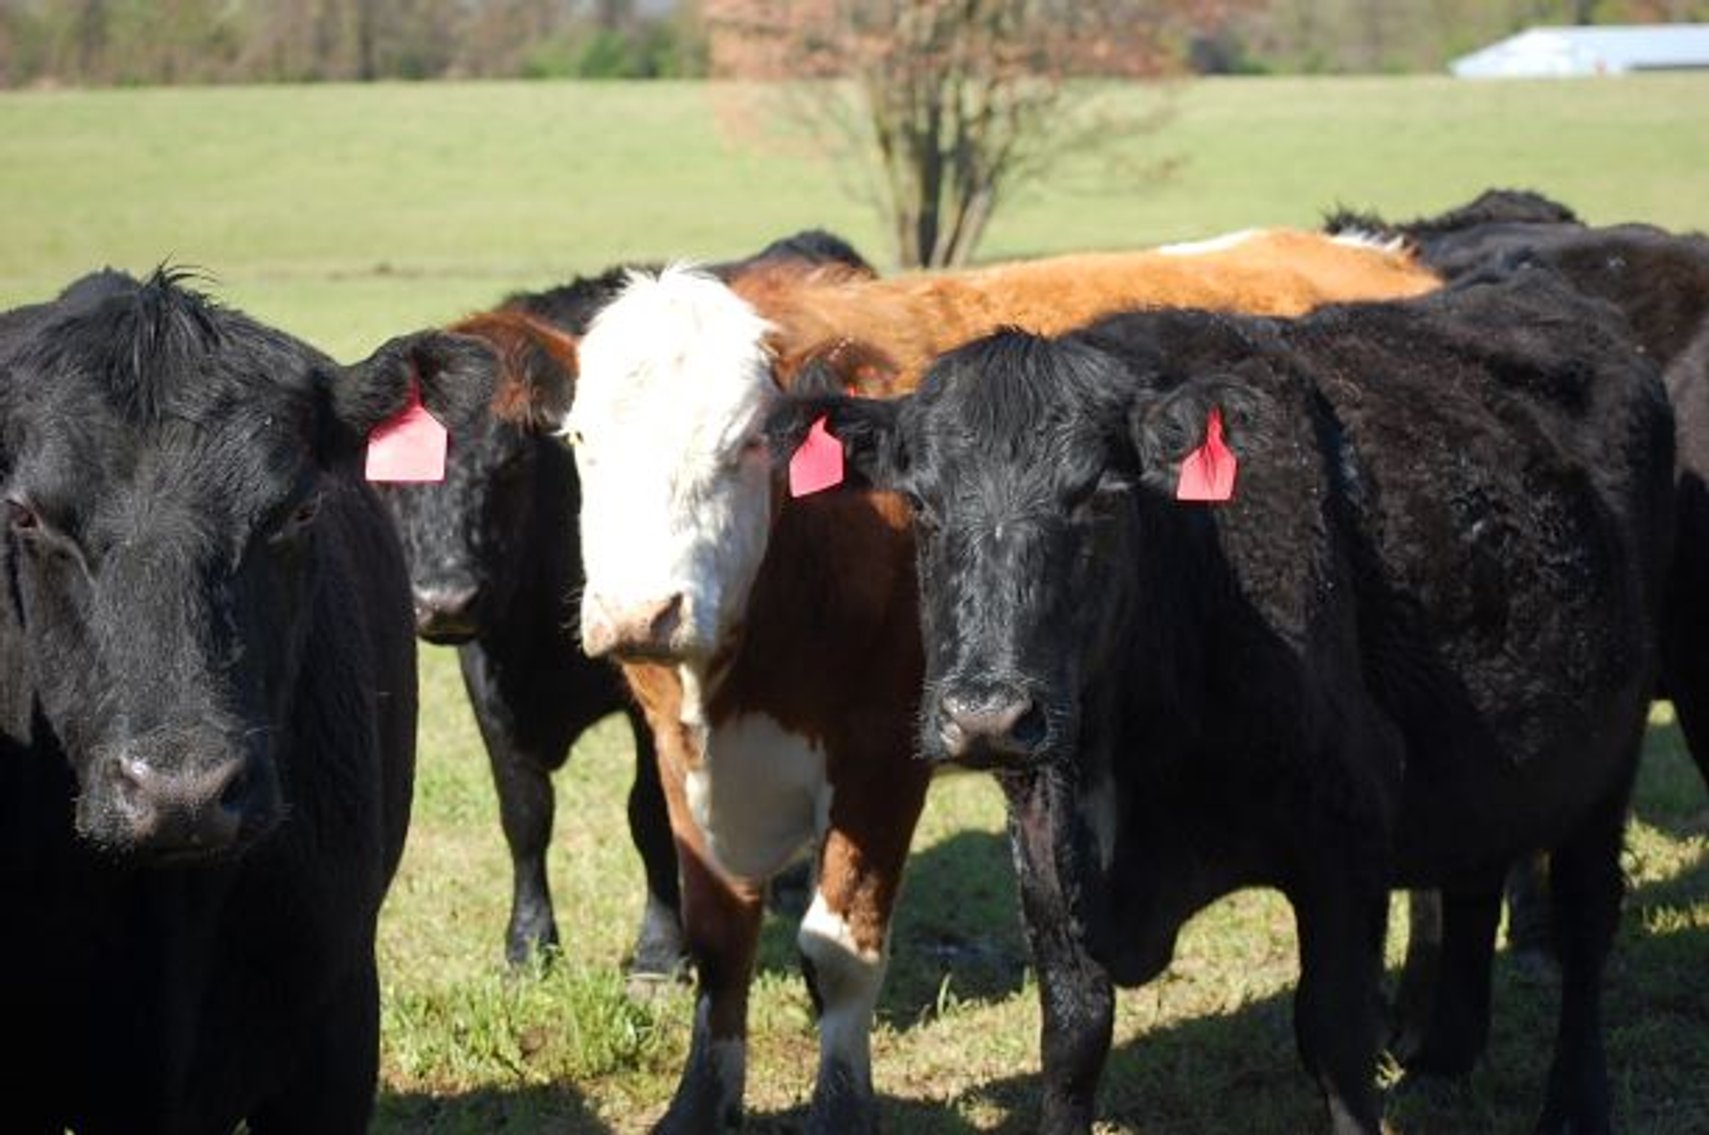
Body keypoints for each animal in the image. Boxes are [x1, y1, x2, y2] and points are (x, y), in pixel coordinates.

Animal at [378, 231, 871, 973]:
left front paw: (660, 950)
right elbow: (525, 813)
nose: (445, 600)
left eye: (510, 465)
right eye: (387, 481)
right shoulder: (485, 682)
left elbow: (649, 816)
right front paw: (529, 941)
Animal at [539, 228, 1442, 1131]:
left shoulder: (881, 760)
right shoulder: (679, 751)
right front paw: (698, 1102)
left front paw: (841, 1105)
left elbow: (838, 952)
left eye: (744, 444)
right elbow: (719, 939)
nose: (639, 614)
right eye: (580, 440)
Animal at [764, 267, 1672, 1133]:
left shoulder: (1346, 835)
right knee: (1475, 880)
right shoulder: (1041, 840)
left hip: (1610, 751)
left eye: (1100, 494)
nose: (986, 715)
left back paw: (1575, 1103)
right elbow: (1072, 1036)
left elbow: (1335, 1036)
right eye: (920, 502)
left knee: (1586, 922)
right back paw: (1443, 1063)